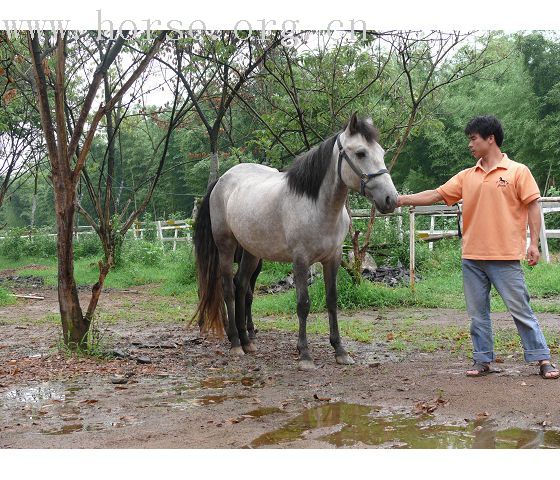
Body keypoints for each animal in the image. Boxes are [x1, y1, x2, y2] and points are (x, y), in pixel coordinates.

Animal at [192, 113, 398, 372]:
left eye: (381, 152)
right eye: (361, 153)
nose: (391, 199)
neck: (317, 206)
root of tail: (221, 180)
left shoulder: (333, 259)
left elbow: (332, 301)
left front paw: (340, 351)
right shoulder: (301, 260)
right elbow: (303, 304)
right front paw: (305, 355)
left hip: (251, 253)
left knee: (242, 287)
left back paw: (248, 341)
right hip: (226, 247)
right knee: (228, 288)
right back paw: (236, 343)